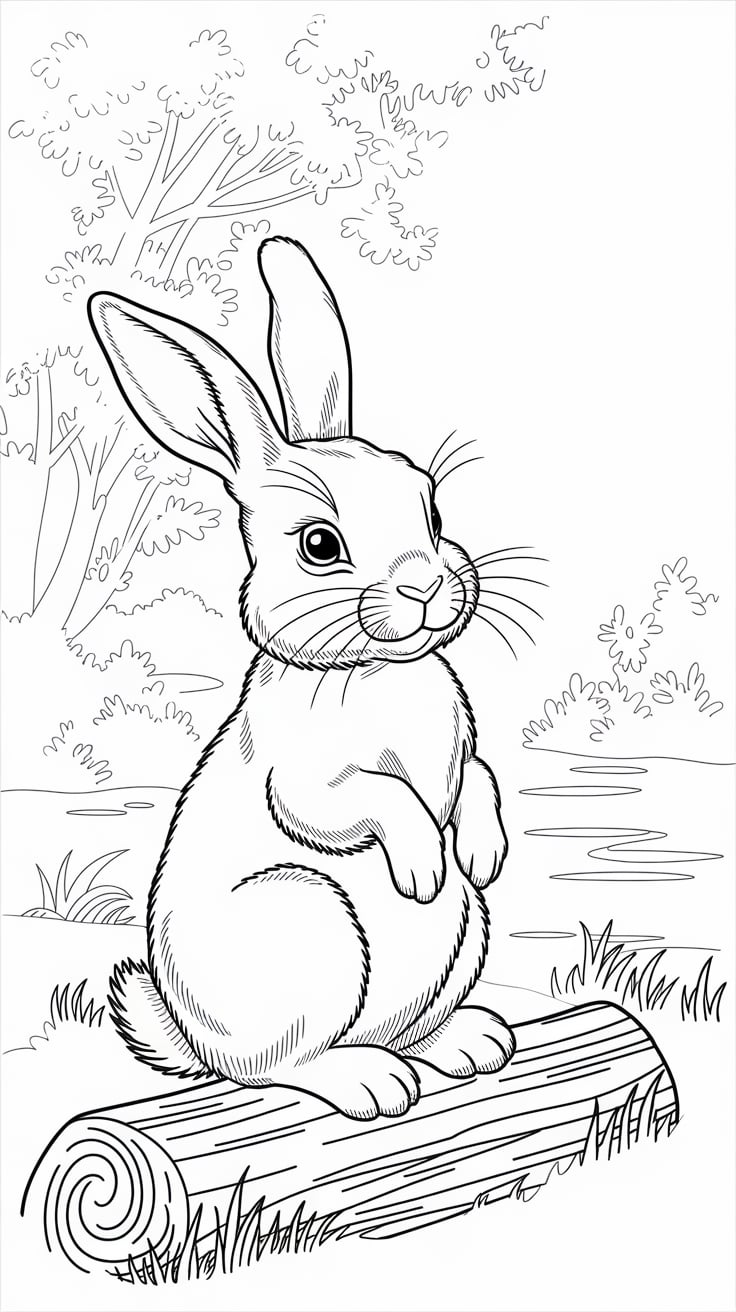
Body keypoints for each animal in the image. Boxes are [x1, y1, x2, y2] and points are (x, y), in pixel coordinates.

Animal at [90, 236, 514, 1122]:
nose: (428, 583)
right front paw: (424, 866)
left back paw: (469, 1042)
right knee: (271, 1067)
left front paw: (483, 850)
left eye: (432, 513)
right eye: (320, 545)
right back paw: (369, 1082)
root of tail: (186, 1035)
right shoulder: (304, 781)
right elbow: (365, 799)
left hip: (464, 936)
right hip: (309, 919)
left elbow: (481, 779)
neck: (371, 667)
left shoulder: (464, 760)